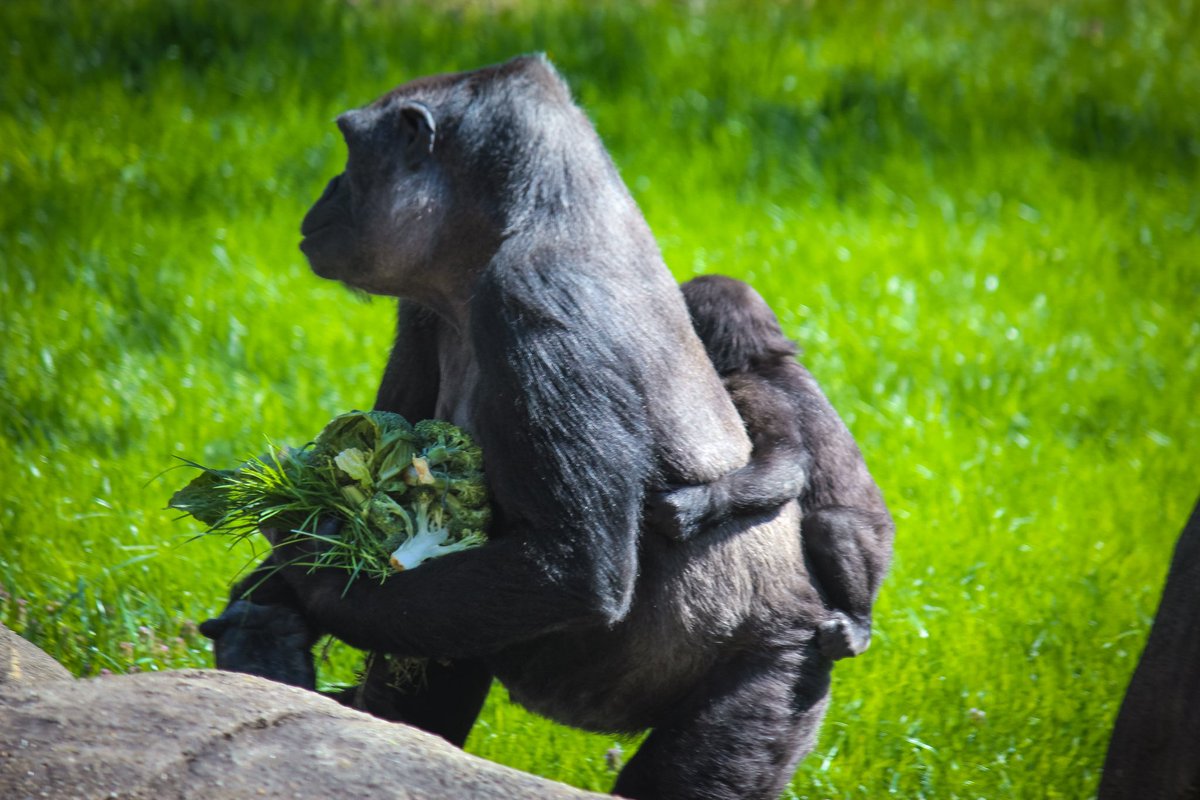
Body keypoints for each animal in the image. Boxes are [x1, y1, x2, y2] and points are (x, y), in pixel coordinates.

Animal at [206, 56, 830, 800]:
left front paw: (308, 570)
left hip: (787, 665)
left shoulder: (535, 296)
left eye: (350, 151)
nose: (326, 190)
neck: (528, 216)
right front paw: (269, 607)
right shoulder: (424, 305)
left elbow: (566, 570)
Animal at [652, 277, 897, 662]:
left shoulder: (752, 389)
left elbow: (784, 464)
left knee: (833, 525)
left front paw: (693, 506)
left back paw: (859, 622)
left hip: (880, 543)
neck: (762, 358)